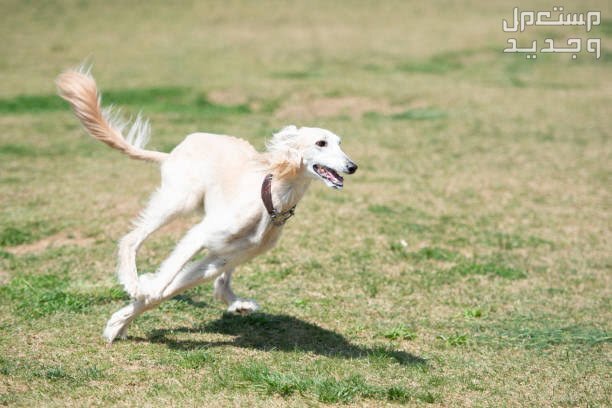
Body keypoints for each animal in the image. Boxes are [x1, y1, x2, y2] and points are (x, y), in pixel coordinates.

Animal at [56, 66, 358, 344]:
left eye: (340, 143)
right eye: (321, 143)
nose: (352, 166)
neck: (270, 199)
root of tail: (173, 151)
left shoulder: (219, 259)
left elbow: (172, 288)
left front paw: (119, 322)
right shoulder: (201, 234)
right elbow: (164, 281)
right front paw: (139, 294)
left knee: (221, 284)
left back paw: (238, 303)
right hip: (179, 200)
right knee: (131, 239)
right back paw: (133, 280)